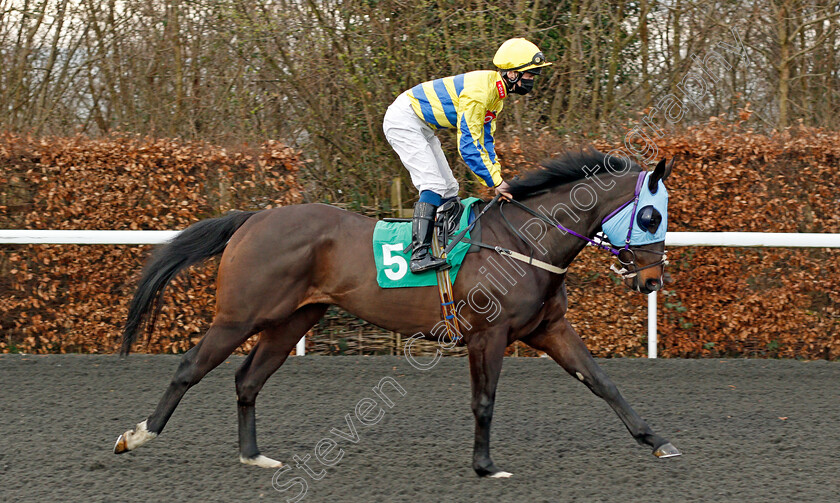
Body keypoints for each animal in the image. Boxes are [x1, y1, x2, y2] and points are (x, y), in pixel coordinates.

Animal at [113, 149, 676, 476]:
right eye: (650, 215)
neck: (523, 241)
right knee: (190, 367)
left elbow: (603, 383)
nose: (652, 280)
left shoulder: (549, 329)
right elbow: (484, 401)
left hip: (293, 320)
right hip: (238, 316)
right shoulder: (487, 335)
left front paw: (657, 441)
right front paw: (485, 465)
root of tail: (253, 218)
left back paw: (254, 455)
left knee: (248, 379)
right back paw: (137, 435)